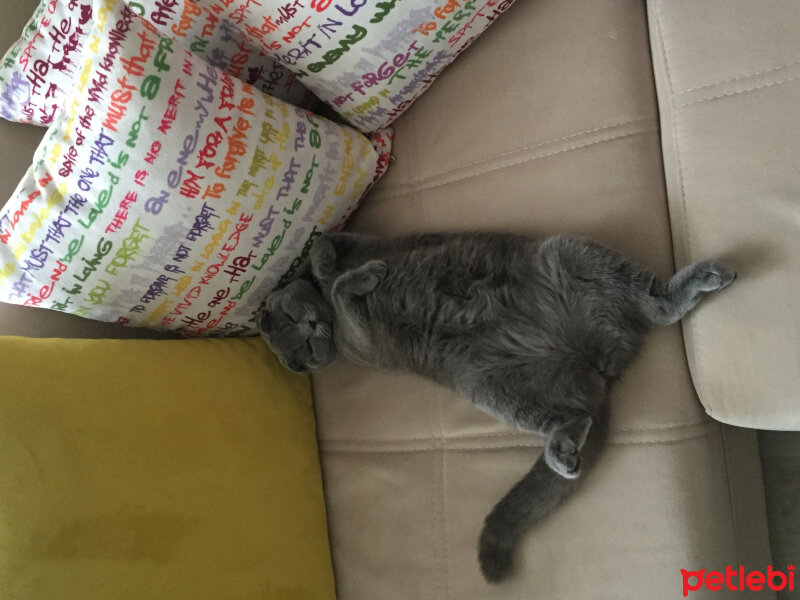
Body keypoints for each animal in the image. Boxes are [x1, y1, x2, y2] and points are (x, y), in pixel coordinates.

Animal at [258, 232, 736, 584]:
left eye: (295, 319)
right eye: (303, 348)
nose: (313, 326)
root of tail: (599, 362)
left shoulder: (369, 261)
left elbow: (331, 257)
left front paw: (325, 256)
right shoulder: (362, 338)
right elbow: (342, 289)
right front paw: (346, 272)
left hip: (568, 254)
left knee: (654, 306)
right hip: (487, 383)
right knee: (572, 413)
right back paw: (563, 449)